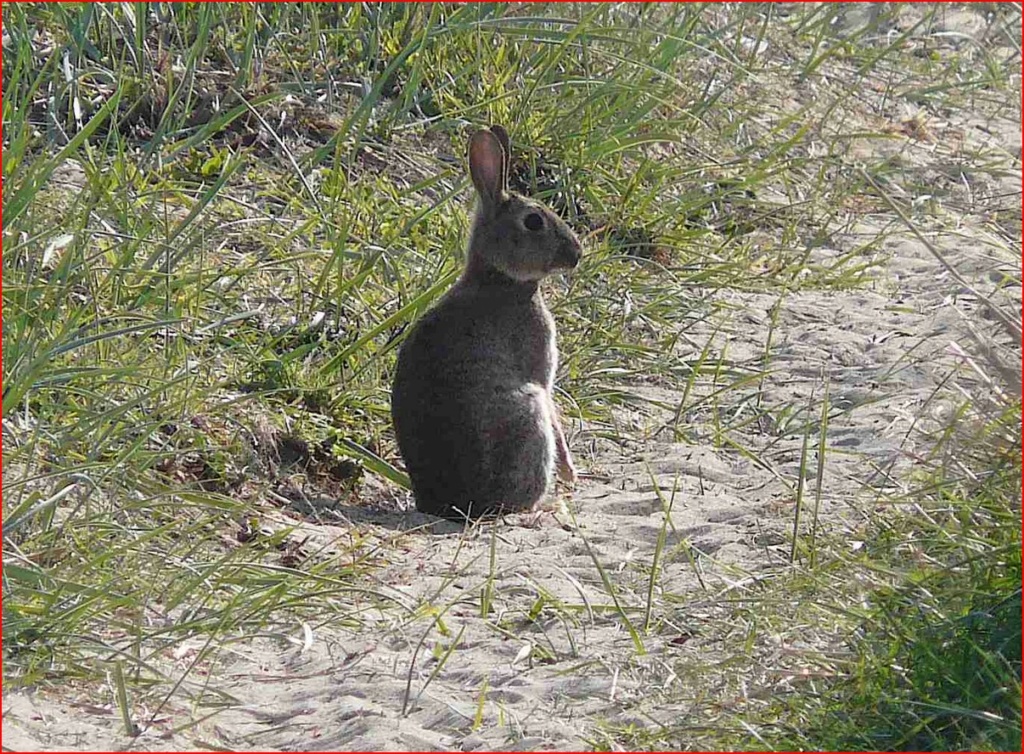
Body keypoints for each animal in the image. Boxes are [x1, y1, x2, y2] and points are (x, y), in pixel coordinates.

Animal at [389, 126, 585, 520]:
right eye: (534, 221)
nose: (576, 254)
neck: (499, 278)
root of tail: (454, 504)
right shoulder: (540, 370)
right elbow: (556, 414)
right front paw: (571, 472)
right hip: (527, 413)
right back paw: (546, 504)